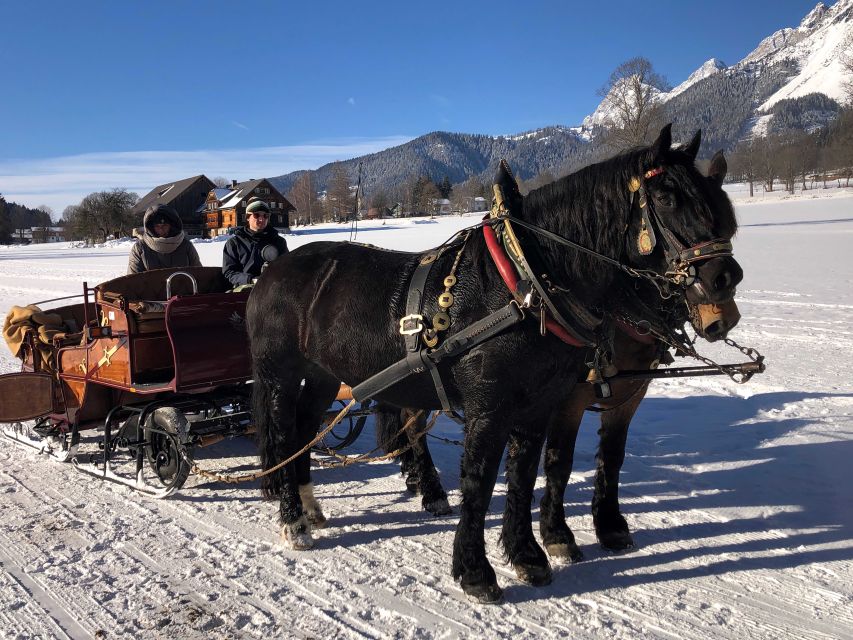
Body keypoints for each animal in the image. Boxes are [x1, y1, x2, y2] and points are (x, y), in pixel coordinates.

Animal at [245, 125, 740, 604]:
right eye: (667, 197)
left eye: (722, 209)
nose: (724, 280)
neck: (522, 284)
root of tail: (273, 271)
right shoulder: (490, 408)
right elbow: (480, 484)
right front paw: (475, 572)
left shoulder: (540, 406)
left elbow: (523, 477)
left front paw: (528, 556)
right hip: (281, 375)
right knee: (286, 433)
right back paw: (293, 520)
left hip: (325, 377)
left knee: (306, 430)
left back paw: (310, 508)